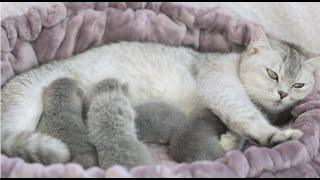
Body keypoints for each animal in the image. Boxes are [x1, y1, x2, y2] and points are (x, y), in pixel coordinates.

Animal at [1, 27, 318, 165]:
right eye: (272, 74)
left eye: (299, 85)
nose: (282, 93)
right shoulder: (220, 87)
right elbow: (247, 116)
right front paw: (273, 135)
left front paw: (231, 139)